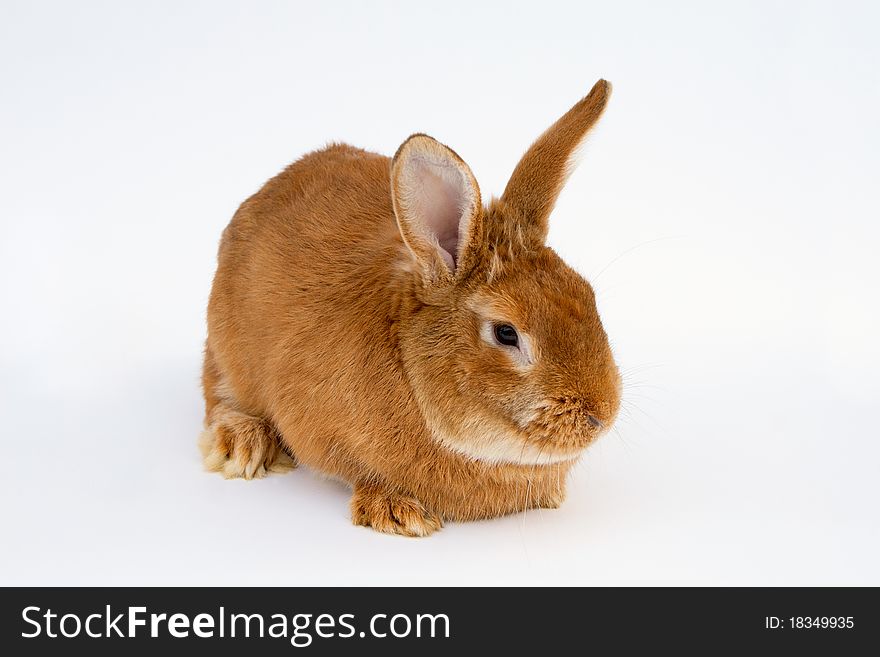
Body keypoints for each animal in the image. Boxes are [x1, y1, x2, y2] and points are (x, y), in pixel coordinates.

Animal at [202, 79, 624, 536]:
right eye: (505, 333)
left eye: (587, 295)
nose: (602, 415)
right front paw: (395, 512)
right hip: (226, 348)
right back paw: (242, 446)